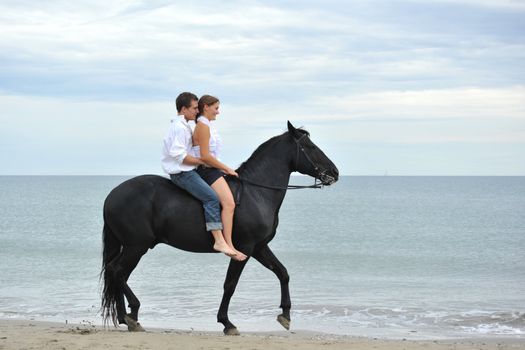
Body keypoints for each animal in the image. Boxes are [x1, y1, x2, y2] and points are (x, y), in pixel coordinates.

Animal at [100, 121, 338, 334]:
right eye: (310, 147)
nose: (334, 173)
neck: (256, 193)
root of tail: (112, 196)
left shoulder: (260, 247)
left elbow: (283, 273)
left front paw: (285, 315)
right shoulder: (245, 248)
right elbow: (230, 284)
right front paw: (226, 322)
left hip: (134, 247)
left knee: (117, 273)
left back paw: (126, 317)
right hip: (136, 246)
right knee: (117, 271)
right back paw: (132, 313)